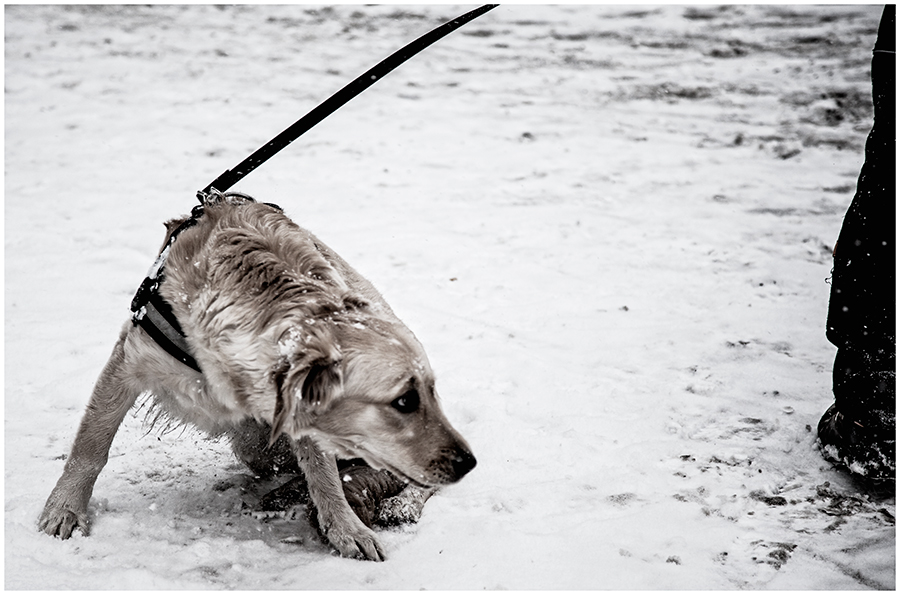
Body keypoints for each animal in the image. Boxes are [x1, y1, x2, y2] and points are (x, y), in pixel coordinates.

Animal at [37, 193, 478, 560]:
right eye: (403, 400)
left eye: (430, 391)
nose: (470, 462)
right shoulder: (127, 363)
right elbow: (91, 447)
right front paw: (65, 509)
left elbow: (324, 476)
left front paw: (345, 529)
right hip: (254, 445)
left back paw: (395, 502)